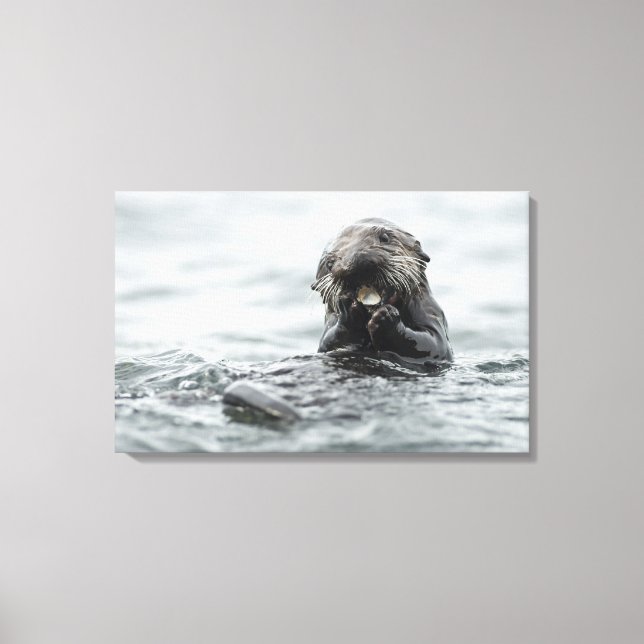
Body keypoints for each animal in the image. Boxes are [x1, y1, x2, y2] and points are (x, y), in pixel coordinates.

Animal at [311, 218, 453, 363]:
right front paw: (349, 310)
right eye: (329, 263)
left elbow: (434, 343)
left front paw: (386, 316)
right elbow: (329, 343)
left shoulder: (430, 311)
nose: (354, 262)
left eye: (384, 238)